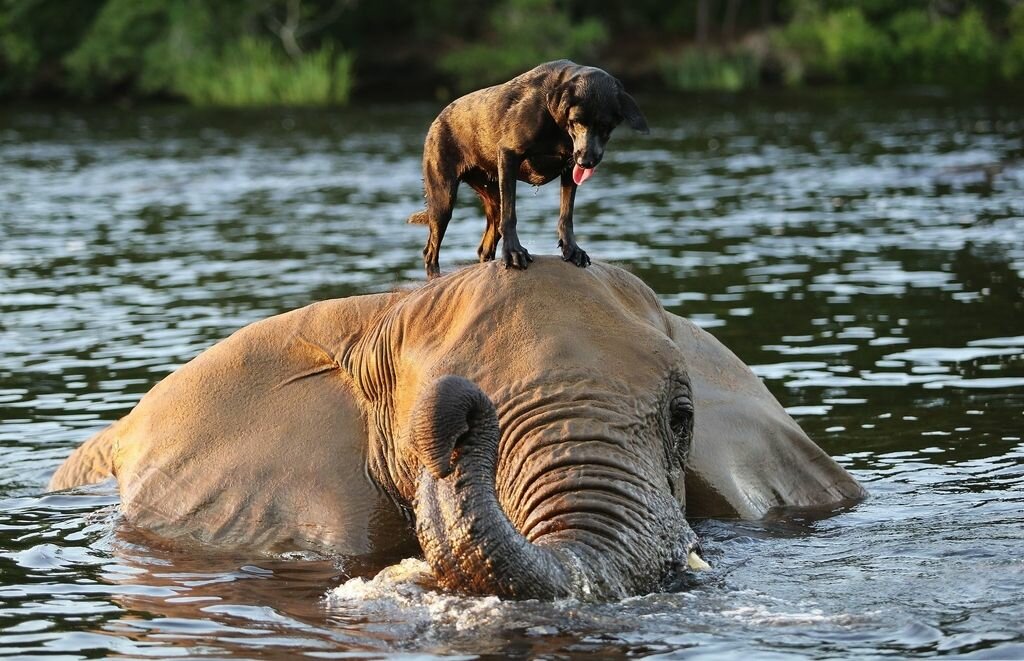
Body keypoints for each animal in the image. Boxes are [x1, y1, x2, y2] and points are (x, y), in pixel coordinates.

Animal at [407, 59, 647, 280]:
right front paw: (514, 252)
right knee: (431, 250)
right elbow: (511, 215)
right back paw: (435, 280)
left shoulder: (570, 168)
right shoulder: (509, 154)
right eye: (576, 121)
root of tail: (438, 118)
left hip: (492, 198)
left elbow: (566, 215)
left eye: (606, 126)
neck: (556, 122)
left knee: (485, 245)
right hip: (443, 198)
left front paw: (572, 250)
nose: (586, 161)